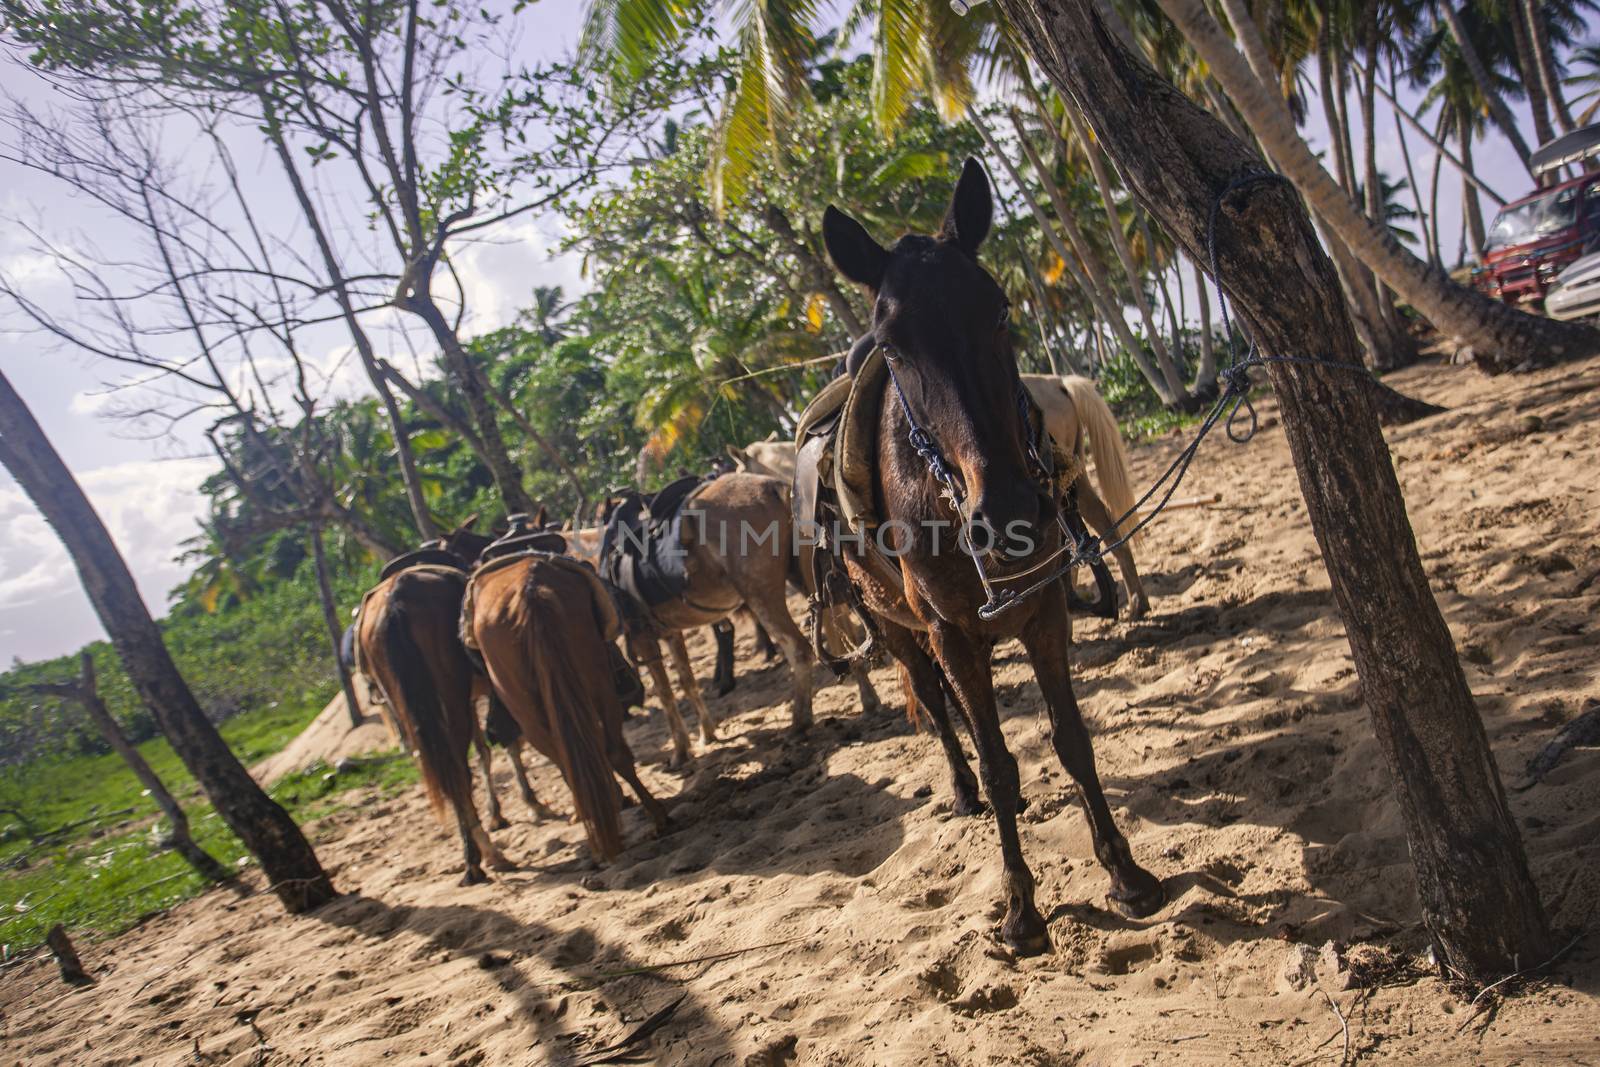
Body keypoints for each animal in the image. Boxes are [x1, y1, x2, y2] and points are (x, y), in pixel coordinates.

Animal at [825, 163, 1164, 953]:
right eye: (893, 346)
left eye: (1002, 310)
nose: (1006, 510)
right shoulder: (949, 635)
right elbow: (998, 760)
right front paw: (1020, 908)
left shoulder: (1043, 612)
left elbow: (1072, 740)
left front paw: (1125, 871)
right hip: (901, 633)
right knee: (939, 711)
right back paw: (960, 790)